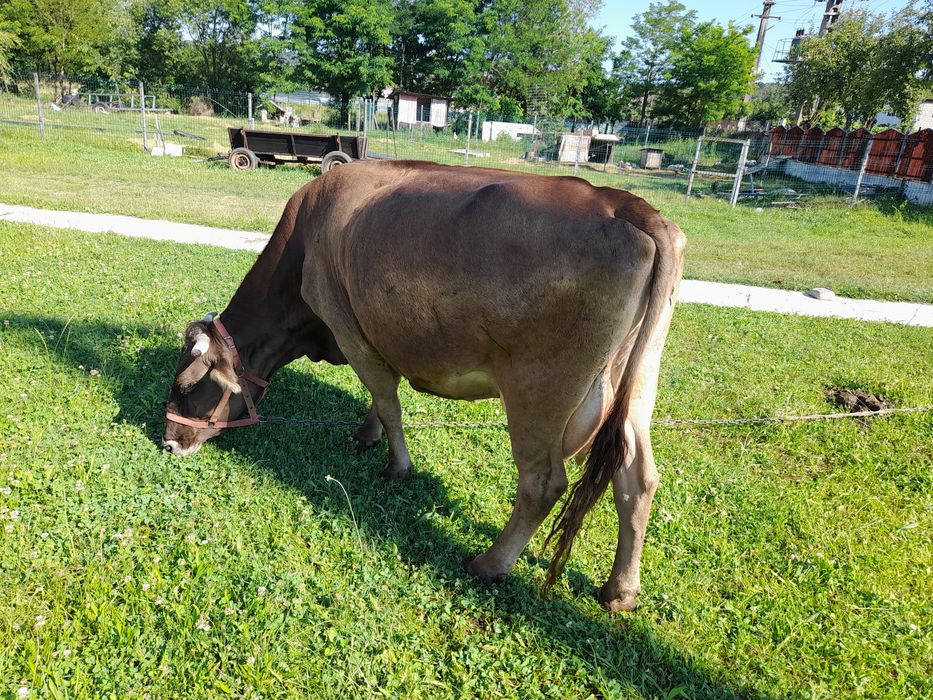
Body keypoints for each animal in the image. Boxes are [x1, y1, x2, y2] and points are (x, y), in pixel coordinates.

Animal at [162, 161, 685, 611]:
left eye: (186, 385)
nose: (169, 442)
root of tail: (622, 202)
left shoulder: (346, 324)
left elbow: (387, 399)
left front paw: (397, 465)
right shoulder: (373, 332)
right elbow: (379, 396)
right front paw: (367, 434)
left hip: (539, 387)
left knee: (543, 483)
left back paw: (490, 563)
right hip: (638, 380)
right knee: (637, 477)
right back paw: (620, 590)